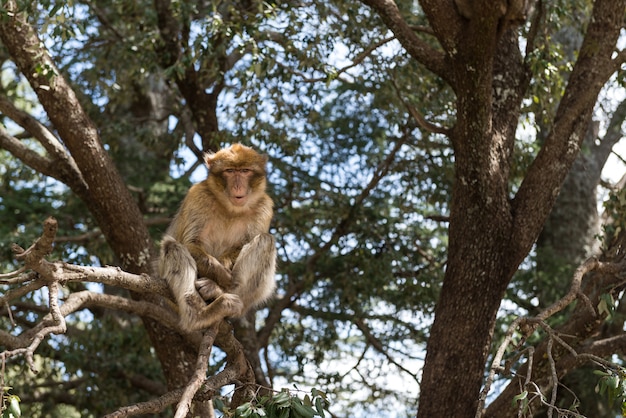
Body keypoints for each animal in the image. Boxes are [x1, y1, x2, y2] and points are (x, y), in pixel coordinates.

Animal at [157, 144, 274, 334]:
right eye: (230, 171)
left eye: (245, 171)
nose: (237, 185)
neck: (230, 209)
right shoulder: (198, 196)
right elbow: (190, 243)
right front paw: (221, 273)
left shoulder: (264, 206)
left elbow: (245, 243)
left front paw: (224, 271)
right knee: (172, 246)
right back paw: (200, 314)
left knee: (265, 240)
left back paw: (218, 291)